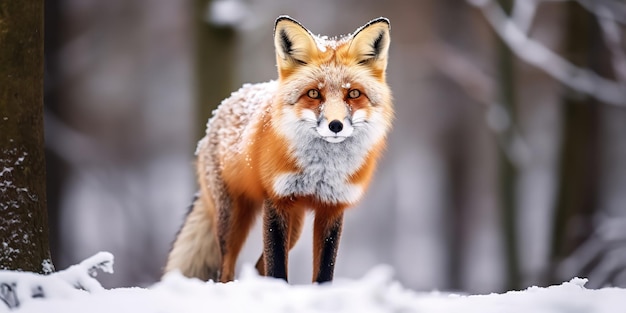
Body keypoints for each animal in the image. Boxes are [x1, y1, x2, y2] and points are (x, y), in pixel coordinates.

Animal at [166, 15, 390, 282]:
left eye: (354, 93)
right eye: (314, 93)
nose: (335, 125)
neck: (321, 170)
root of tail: (225, 103)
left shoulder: (332, 206)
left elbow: (324, 270)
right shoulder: (277, 200)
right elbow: (276, 267)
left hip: (295, 226)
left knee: (256, 266)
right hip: (232, 219)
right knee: (226, 269)